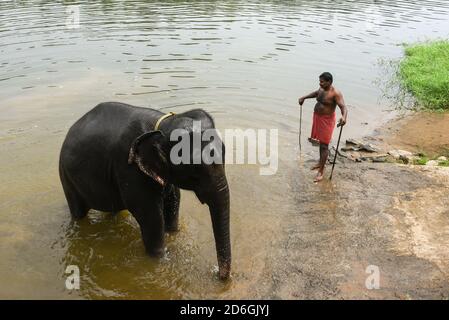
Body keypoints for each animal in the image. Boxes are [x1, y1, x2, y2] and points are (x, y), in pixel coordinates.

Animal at [58, 102, 231, 280]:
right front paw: (159, 259)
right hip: (66, 178)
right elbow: (150, 216)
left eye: (225, 153)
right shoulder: (129, 168)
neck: (162, 126)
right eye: (194, 171)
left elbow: (173, 201)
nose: (219, 275)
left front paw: (173, 235)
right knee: (78, 212)